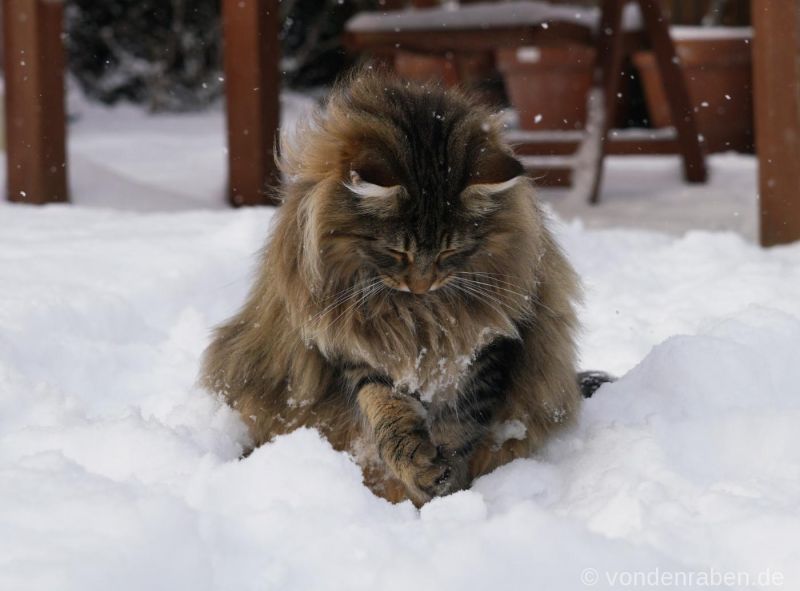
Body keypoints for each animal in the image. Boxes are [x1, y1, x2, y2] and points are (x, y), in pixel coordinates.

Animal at [200, 68, 588, 504]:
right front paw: (416, 468)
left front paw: (444, 488)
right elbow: (386, 411)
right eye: (396, 252)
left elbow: (460, 425)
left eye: (449, 252)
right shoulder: (357, 345)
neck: (419, 314)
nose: (421, 285)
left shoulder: (489, 344)